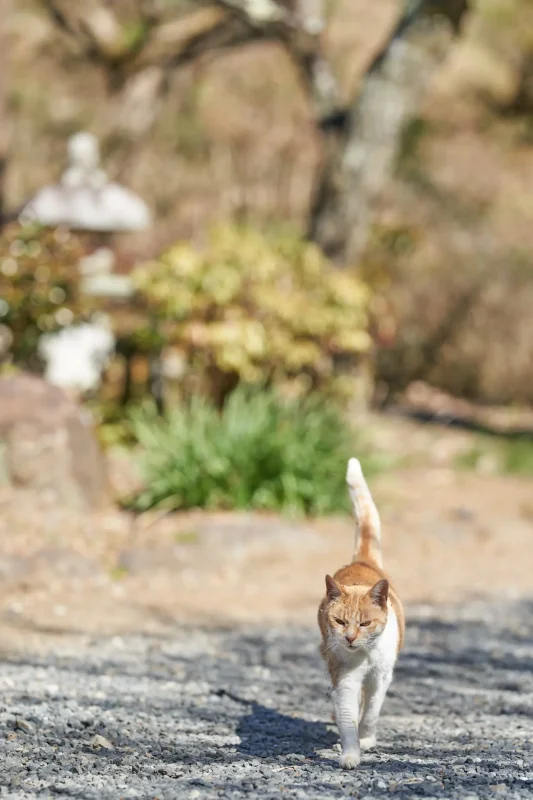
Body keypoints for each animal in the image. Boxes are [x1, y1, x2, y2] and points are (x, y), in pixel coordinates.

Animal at [316, 462, 404, 768]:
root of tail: (361, 561)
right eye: (340, 621)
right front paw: (351, 754)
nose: (350, 638)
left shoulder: (381, 677)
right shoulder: (345, 679)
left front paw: (366, 740)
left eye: (366, 623)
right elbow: (347, 718)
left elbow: (372, 712)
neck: (365, 654)